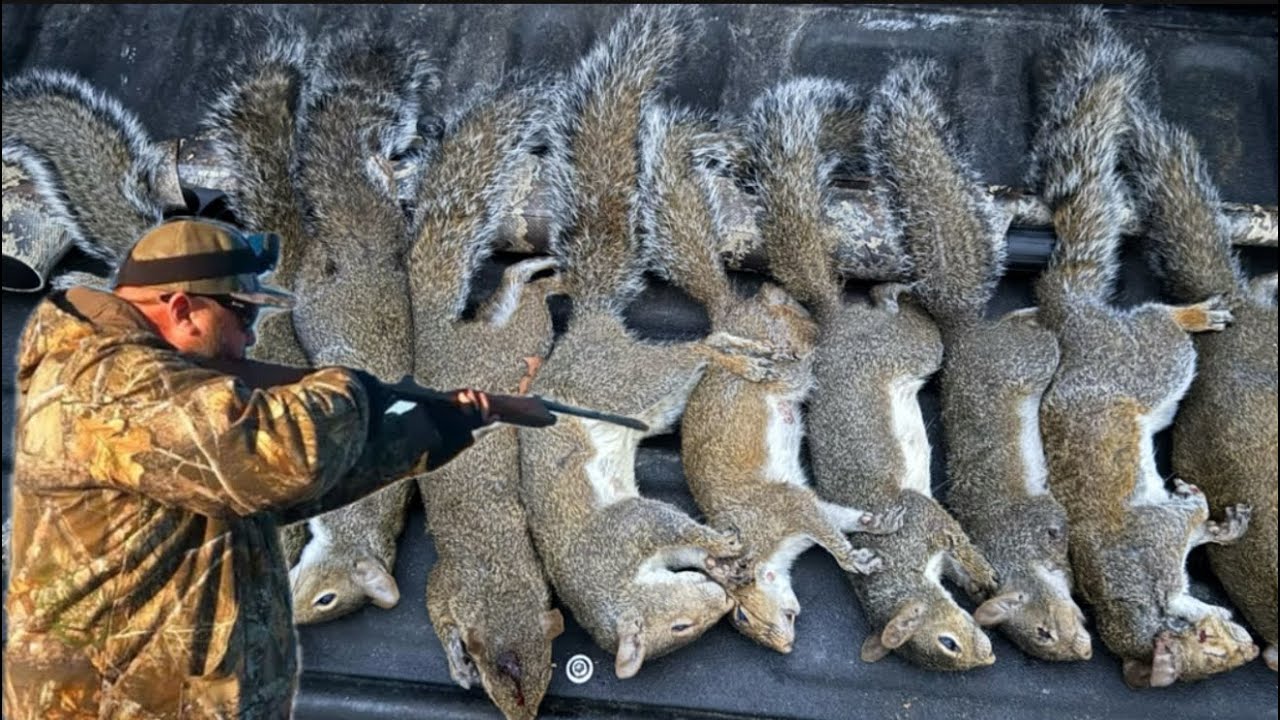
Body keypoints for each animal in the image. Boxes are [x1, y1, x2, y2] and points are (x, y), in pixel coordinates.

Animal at [516, 5, 764, 680]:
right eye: (682, 628)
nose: (716, 605)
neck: (608, 583)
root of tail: (586, 329)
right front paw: (717, 560)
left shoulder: (625, 529)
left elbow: (663, 520)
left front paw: (715, 542)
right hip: (651, 404)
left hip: (629, 380)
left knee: (696, 351)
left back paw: (744, 358)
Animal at [639, 96, 904, 656]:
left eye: (741, 613)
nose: (782, 647)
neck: (768, 547)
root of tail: (728, 313)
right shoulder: (806, 505)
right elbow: (839, 516)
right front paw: (875, 523)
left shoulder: (785, 506)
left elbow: (827, 532)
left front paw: (854, 558)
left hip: (777, 350)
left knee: (791, 331)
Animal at [761, 77, 1003, 671]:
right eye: (946, 647)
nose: (986, 659)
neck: (901, 568)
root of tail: (833, 322)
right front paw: (974, 581)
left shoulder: (917, 518)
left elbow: (954, 536)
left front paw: (981, 572)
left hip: (908, 349)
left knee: (908, 319)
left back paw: (894, 290)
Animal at [872, 59, 1092, 662]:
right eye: (1041, 637)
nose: (1083, 653)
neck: (1016, 558)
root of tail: (965, 334)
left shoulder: (1032, 523)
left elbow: (1054, 528)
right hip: (1023, 355)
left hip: (1022, 361)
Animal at [1029, 9, 1257, 687]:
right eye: (1212, 653)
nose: (1250, 646)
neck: (1136, 593)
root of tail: (1072, 320)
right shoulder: (1156, 540)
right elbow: (1189, 526)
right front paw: (1216, 520)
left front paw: (1211, 514)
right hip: (1152, 367)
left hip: (1142, 357)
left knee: (1160, 319)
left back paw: (1196, 312)